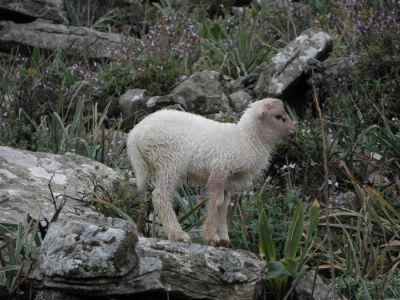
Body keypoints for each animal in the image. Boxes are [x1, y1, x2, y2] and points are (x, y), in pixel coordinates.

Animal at [126, 98, 296, 246]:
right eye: (279, 116)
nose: (294, 132)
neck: (246, 139)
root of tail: (134, 135)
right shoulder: (219, 171)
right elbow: (216, 202)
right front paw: (210, 237)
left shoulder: (228, 181)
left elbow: (224, 205)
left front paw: (224, 239)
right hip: (169, 163)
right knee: (160, 196)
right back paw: (178, 235)